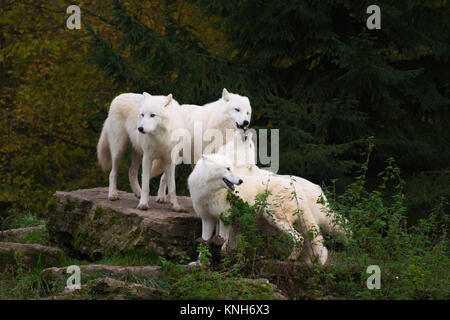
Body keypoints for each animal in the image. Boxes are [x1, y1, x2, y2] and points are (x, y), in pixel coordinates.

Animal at [188, 152, 328, 264]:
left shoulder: (225, 219)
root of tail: (296, 188)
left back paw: (291, 258)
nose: (240, 181)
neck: (209, 192)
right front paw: (199, 263)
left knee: (299, 238)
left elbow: (222, 243)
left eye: (232, 168)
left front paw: (222, 260)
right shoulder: (207, 219)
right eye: (228, 169)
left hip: (275, 218)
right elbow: (204, 243)